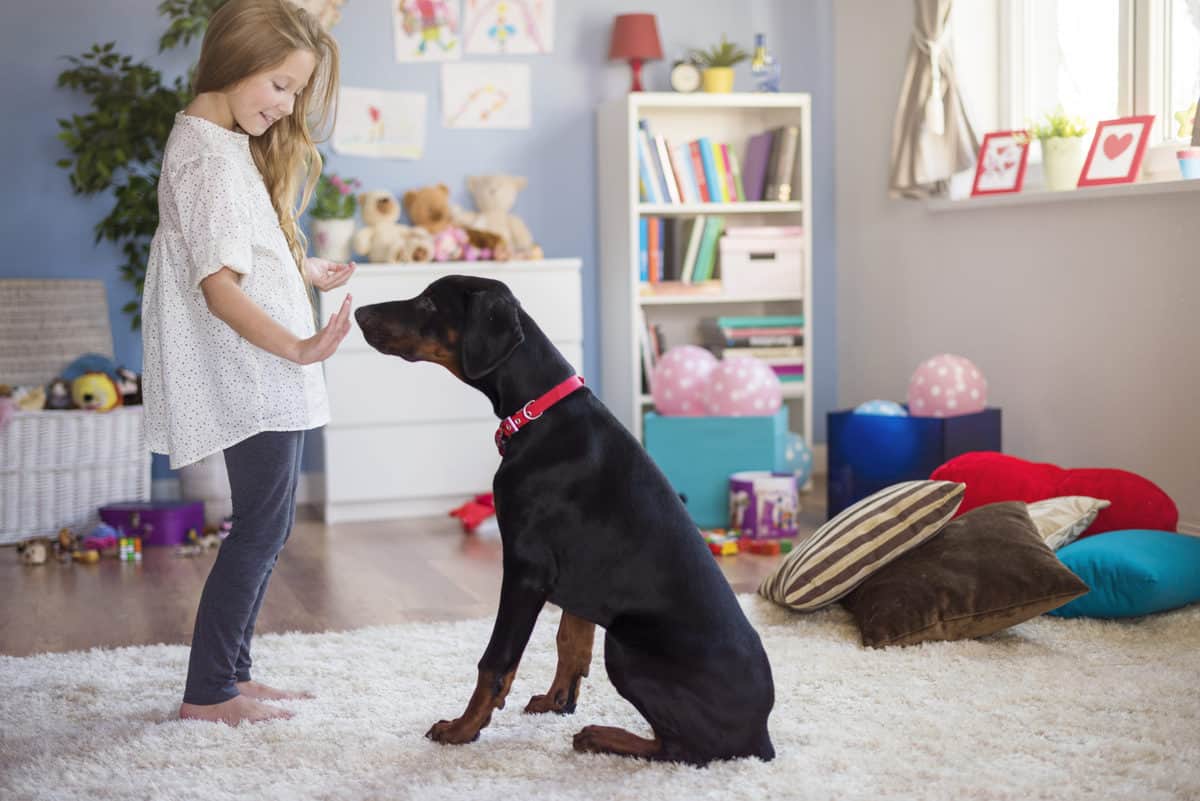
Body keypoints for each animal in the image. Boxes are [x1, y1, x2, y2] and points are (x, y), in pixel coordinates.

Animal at [352, 276, 777, 767]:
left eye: (428, 303)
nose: (358, 313)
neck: (539, 412)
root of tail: (761, 736)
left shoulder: (526, 567)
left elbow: (496, 659)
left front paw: (463, 728)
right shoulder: (578, 573)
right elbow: (570, 640)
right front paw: (558, 702)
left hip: (626, 645)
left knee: (683, 749)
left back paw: (603, 737)